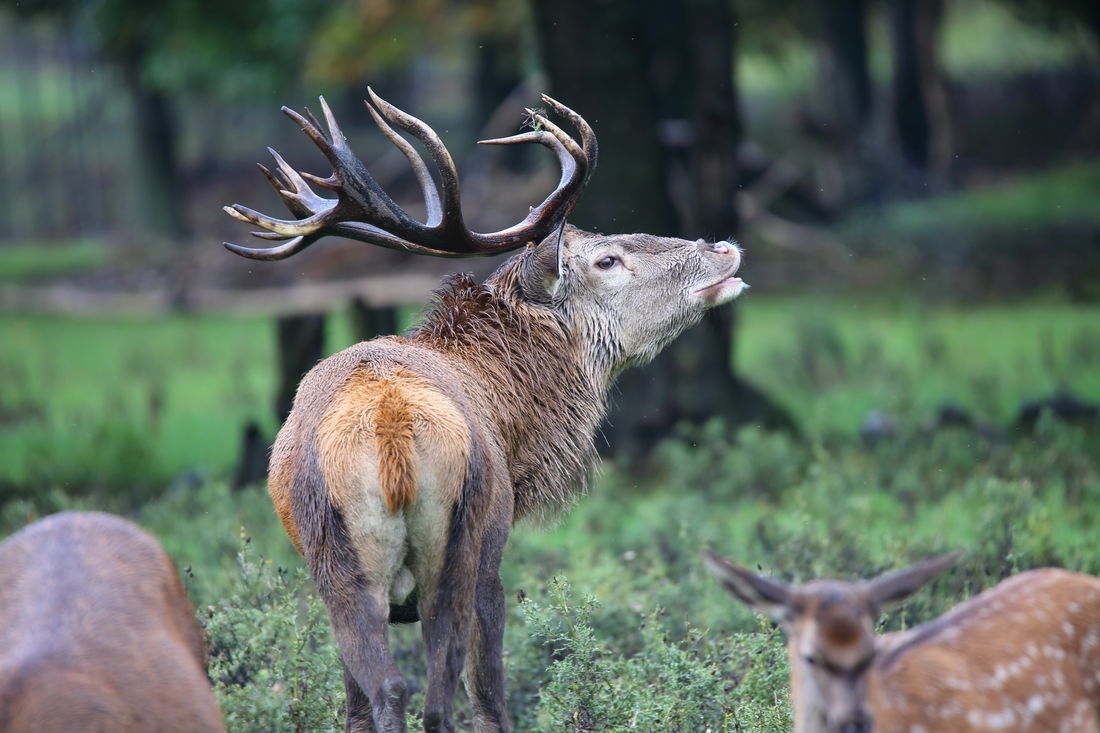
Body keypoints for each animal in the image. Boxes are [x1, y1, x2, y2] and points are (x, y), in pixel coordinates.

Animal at [221, 88, 748, 726]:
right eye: (607, 260)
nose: (720, 247)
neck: (515, 424)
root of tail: (391, 432)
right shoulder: (497, 543)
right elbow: (489, 693)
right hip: (463, 542)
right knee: (450, 696)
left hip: (335, 565)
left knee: (382, 690)